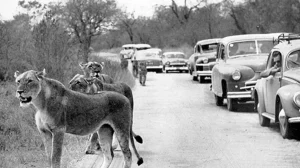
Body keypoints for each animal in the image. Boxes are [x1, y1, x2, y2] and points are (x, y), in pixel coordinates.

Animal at [14, 69, 144, 168]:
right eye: (18, 81)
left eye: (30, 81)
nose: (19, 91)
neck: (40, 104)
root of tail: (124, 97)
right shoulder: (44, 132)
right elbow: (49, 157)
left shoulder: (58, 130)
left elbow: (55, 158)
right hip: (104, 130)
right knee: (108, 156)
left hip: (121, 128)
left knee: (128, 155)